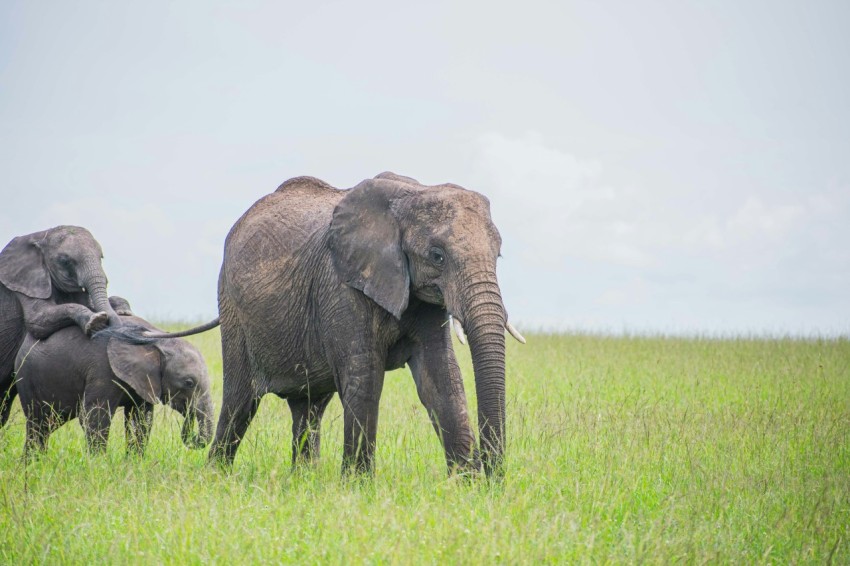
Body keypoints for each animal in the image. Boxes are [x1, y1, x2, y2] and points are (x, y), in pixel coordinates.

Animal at [0, 226, 123, 426]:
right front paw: (95, 321)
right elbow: (38, 320)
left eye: (102, 256)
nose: (107, 321)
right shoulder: (24, 283)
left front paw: (120, 308)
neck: (42, 236)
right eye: (65, 261)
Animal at [13, 316, 214, 462]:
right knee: (38, 423)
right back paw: (32, 464)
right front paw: (98, 465)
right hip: (27, 378)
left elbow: (141, 419)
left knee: (45, 426)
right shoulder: (102, 371)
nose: (193, 434)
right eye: (189, 382)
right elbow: (95, 417)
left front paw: (134, 463)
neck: (156, 340)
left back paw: (31, 463)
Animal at [147, 174, 520, 480]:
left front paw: (465, 485)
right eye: (437, 255)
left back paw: (303, 479)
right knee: (241, 399)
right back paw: (216, 475)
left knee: (308, 406)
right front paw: (358, 486)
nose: (493, 475)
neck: (413, 194)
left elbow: (442, 380)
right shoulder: (341, 285)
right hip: (234, 307)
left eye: (499, 255)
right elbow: (364, 379)